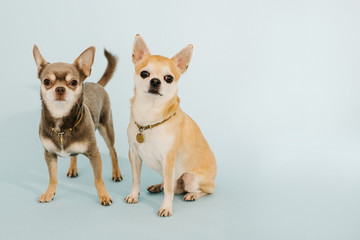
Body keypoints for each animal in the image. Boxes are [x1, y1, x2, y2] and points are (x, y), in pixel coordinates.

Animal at [33, 44, 122, 205]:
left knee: (113, 151)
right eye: (47, 81)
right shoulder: (49, 154)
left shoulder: (94, 154)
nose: (60, 88)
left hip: (107, 128)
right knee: (74, 155)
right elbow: (53, 177)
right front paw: (49, 193)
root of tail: (97, 84)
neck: (61, 123)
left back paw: (116, 172)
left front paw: (104, 195)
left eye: (73, 82)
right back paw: (72, 169)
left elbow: (98, 179)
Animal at [124, 34, 217, 217]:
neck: (150, 115)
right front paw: (133, 195)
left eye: (169, 78)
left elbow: (168, 189)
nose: (155, 81)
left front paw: (166, 207)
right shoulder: (135, 155)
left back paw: (192, 195)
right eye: (144, 73)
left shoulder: (168, 160)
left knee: (205, 190)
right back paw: (157, 186)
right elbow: (136, 178)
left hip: (190, 178)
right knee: (172, 185)